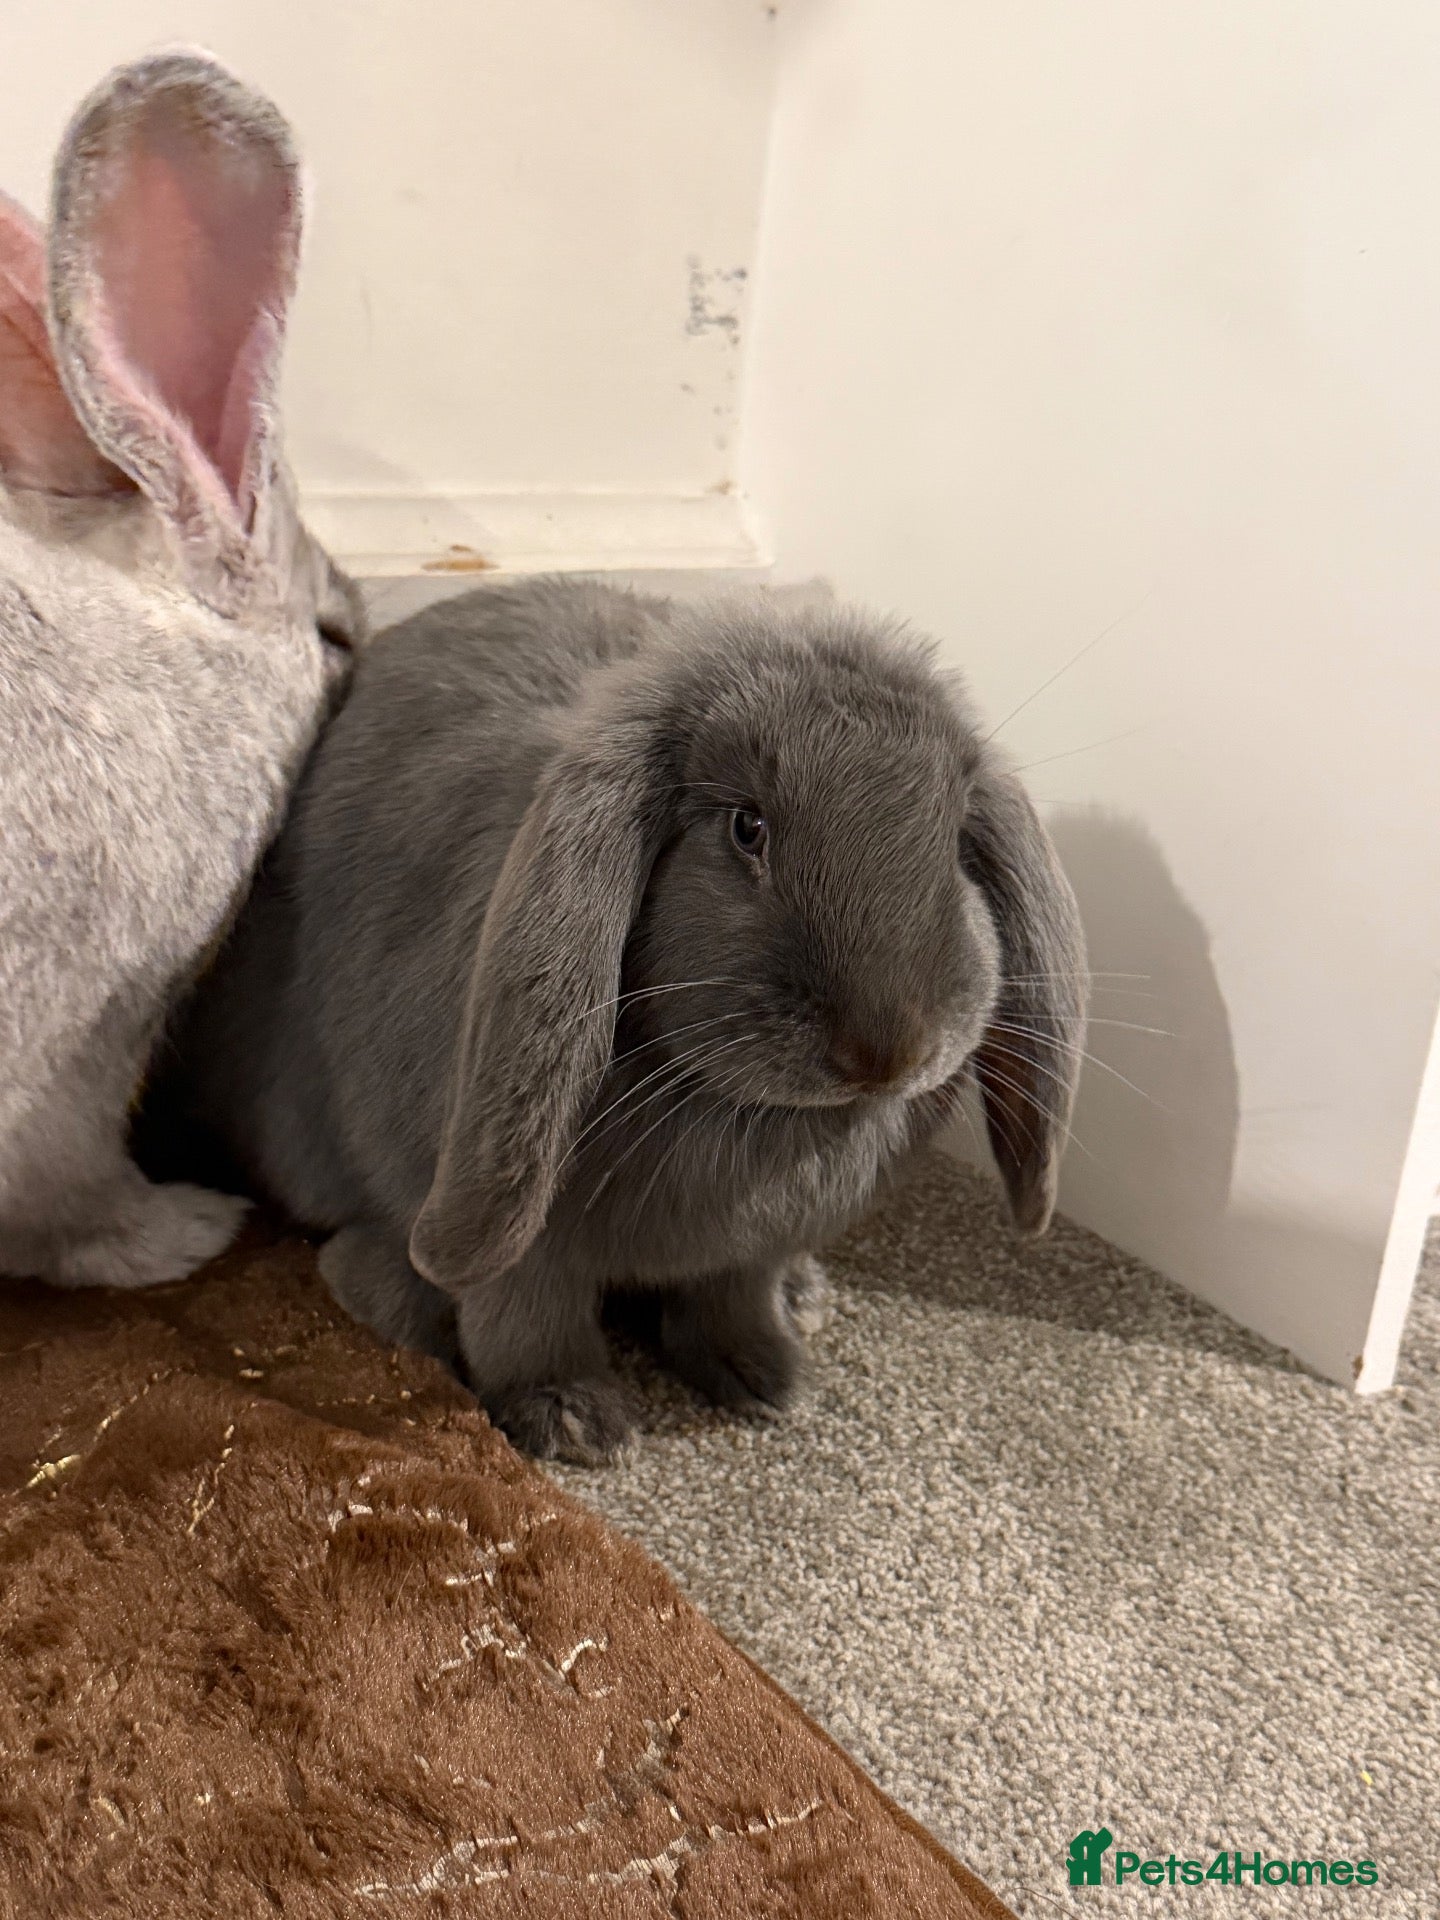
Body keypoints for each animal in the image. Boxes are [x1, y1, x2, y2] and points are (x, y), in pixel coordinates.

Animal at [165, 578, 1086, 1463]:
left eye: (953, 842)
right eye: (746, 828)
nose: (888, 1050)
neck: (743, 1114)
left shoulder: (743, 1255)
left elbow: (734, 1301)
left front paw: (768, 1380)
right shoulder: (517, 1237)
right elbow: (522, 1320)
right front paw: (576, 1422)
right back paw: (382, 1288)